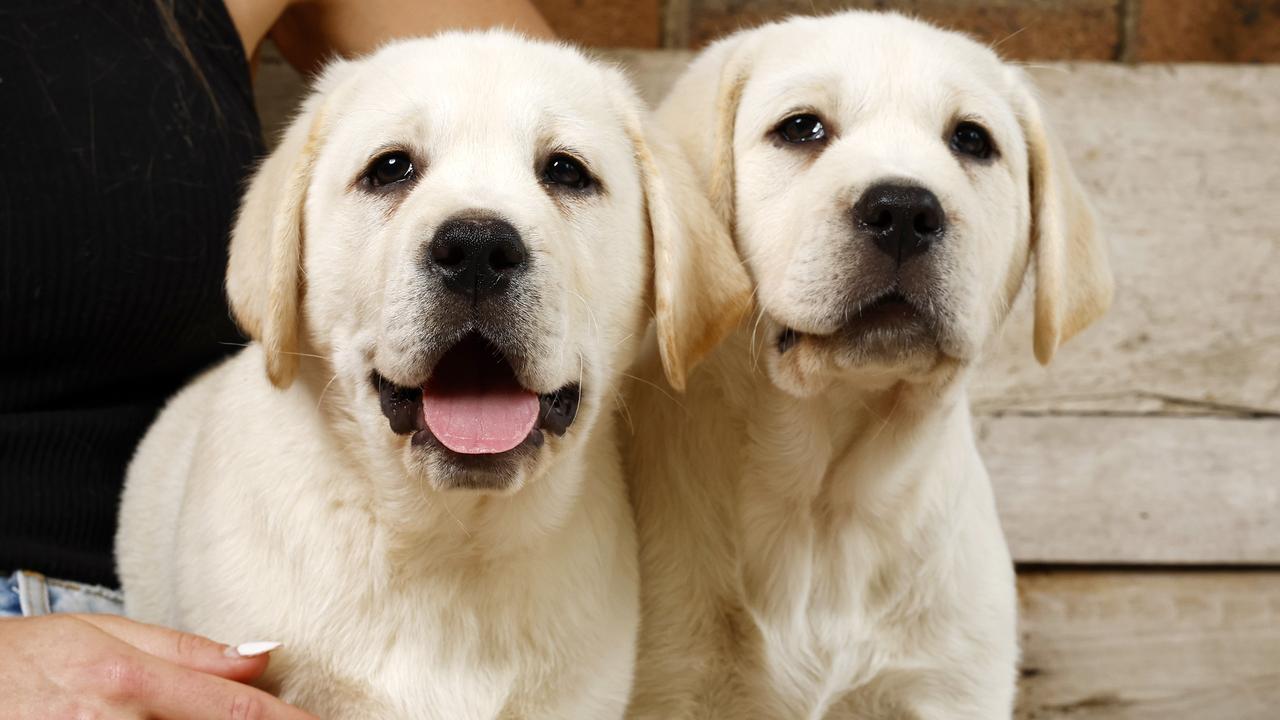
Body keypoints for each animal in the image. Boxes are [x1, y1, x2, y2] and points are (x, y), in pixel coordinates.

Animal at [627, 12, 1111, 717]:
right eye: (801, 128)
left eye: (972, 139)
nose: (904, 211)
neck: (828, 505)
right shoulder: (669, 679)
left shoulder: (949, 687)